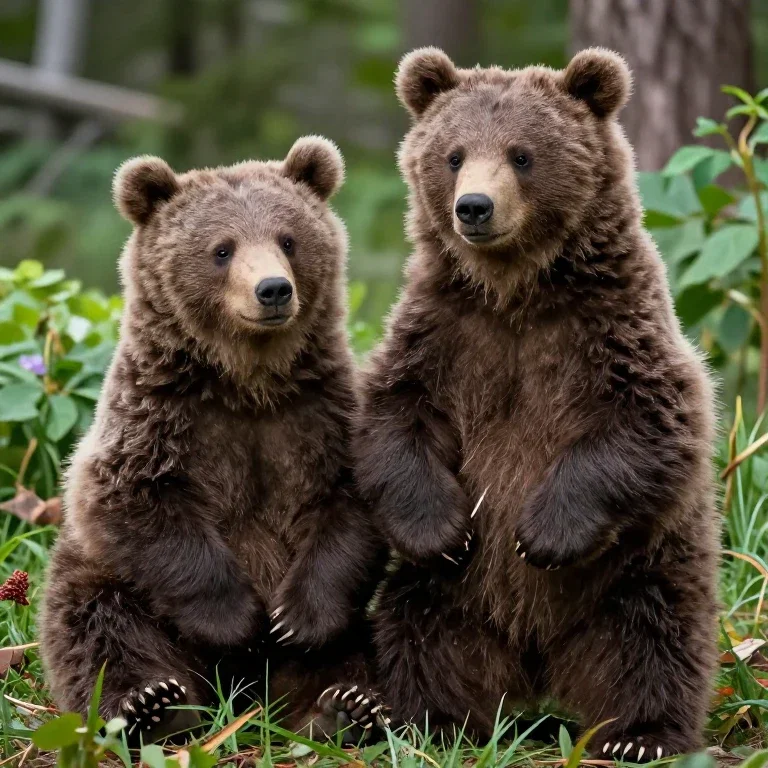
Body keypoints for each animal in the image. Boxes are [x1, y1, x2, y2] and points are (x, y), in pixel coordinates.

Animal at [40, 136, 387, 744]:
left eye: (288, 239)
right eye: (222, 249)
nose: (273, 289)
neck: (246, 382)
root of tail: (243, 692)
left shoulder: (321, 416)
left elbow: (351, 507)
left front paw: (294, 619)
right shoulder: (160, 416)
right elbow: (136, 502)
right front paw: (237, 619)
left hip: (347, 632)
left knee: (355, 648)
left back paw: (342, 708)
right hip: (109, 583)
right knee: (96, 624)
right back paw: (155, 706)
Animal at [353, 48, 718, 761]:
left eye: (522, 155)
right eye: (454, 154)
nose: (473, 207)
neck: (515, 290)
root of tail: (536, 661)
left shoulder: (612, 329)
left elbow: (650, 420)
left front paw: (544, 533)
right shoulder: (444, 334)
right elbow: (396, 418)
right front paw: (444, 531)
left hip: (636, 568)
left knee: (652, 639)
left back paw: (641, 735)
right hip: (451, 597)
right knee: (422, 633)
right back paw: (427, 720)